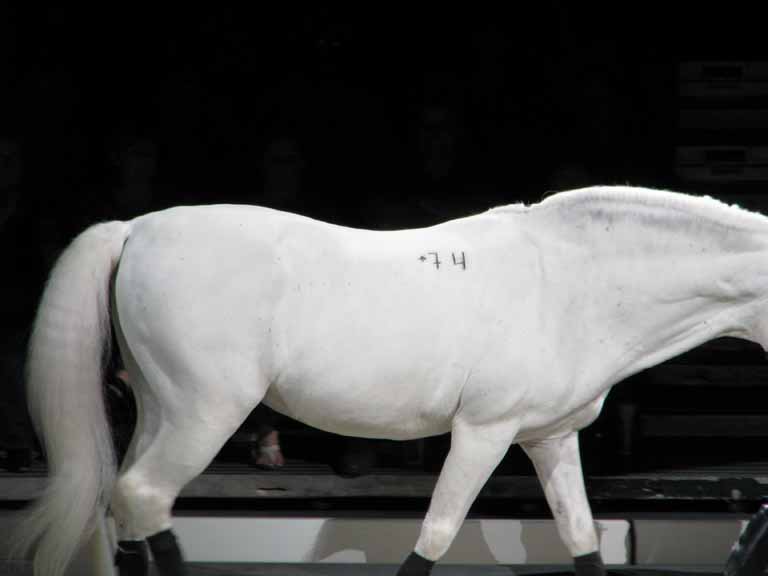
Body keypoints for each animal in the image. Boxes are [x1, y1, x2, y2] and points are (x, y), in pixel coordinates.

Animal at [12, 186, 768, 576]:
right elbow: (435, 535)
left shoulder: (549, 439)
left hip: (159, 410)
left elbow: (582, 538)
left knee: (124, 504)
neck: (569, 281)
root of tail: (134, 229)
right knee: (146, 497)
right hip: (206, 414)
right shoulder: (483, 433)